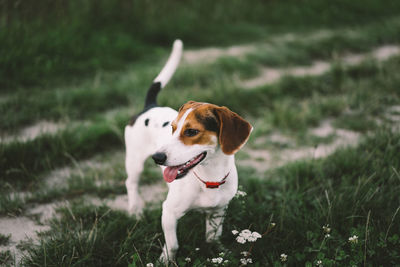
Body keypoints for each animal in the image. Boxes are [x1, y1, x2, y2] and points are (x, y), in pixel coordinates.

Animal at [124, 40, 253, 262]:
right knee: (131, 184)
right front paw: (166, 260)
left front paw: (221, 252)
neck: (209, 178)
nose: (157, 157)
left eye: (192, 131)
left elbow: (212, 238)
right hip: (134, 162)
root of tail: (151, 106)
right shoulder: (169, 213)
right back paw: (135, 212)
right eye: (172, 128)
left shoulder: (218, 211)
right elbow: (173, 244)